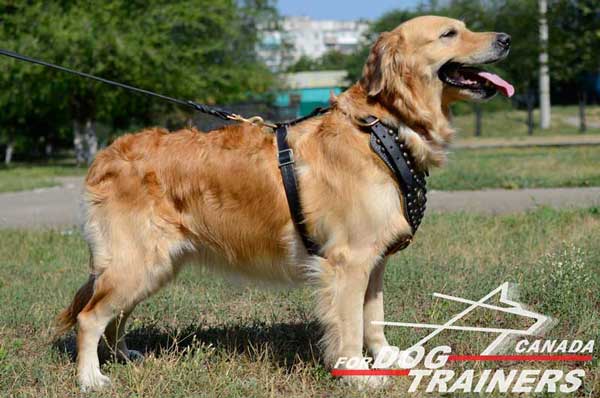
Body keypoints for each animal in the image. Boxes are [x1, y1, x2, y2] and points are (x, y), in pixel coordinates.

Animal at [58, 15, 512, 392]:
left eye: (464, 27)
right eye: (449, 33)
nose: (506, 39)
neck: (382, 128)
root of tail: (104, 156)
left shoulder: (375, 259)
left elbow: (374, 315)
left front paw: (386, 356)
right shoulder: (348, 262)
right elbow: (350, 324)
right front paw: (358, 374)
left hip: (153, 266)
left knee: (115, 316)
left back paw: (121, 356)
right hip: (137, 262)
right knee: (90, 317)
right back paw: (91, 377)